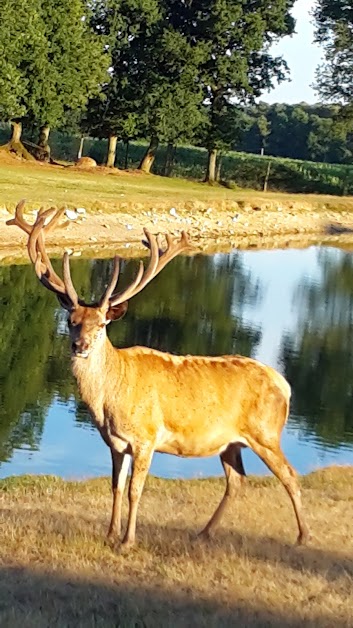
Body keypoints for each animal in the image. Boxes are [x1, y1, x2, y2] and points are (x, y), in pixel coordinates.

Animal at [7, 199, 308, 548]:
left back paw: (303, 536)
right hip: (231, 442)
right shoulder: (115, 442)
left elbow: (135, 491)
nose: (79, 345)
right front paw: (110, 533)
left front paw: (127, 541)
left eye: (102, 324)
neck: (109, 401)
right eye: (71, 320)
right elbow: (115, 486)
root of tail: (285, 385)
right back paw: (204, 532)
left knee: (290, 474)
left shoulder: (146, 437)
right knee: (237, 481)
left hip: (266, 433)